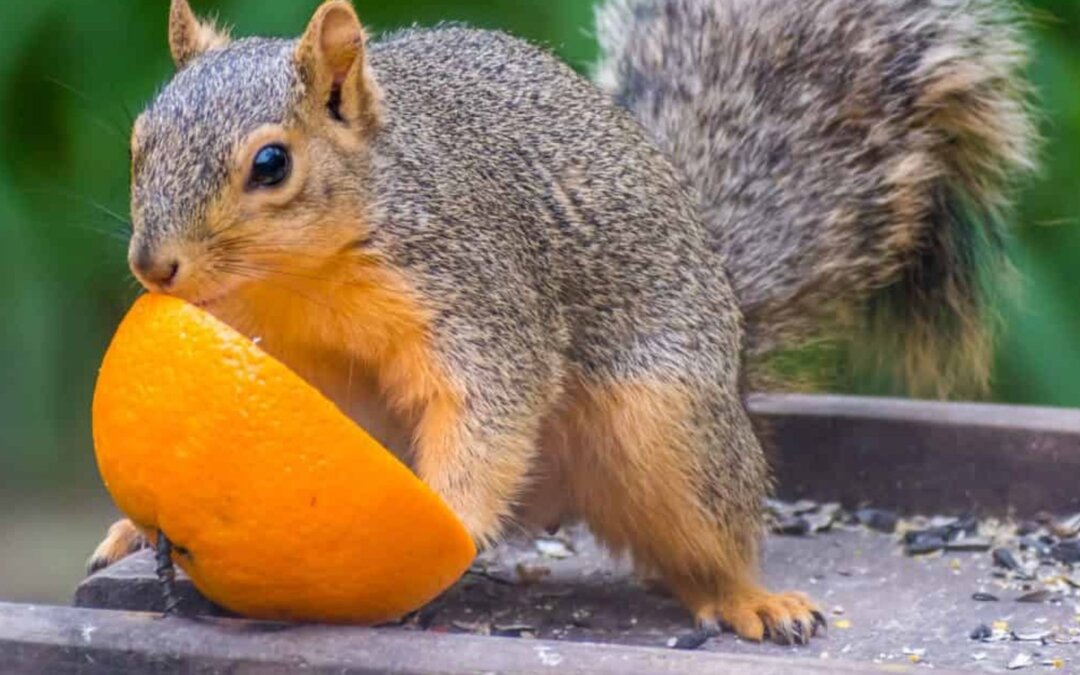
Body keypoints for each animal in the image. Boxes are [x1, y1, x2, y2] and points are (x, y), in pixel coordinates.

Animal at [89, 0, 1033, 644]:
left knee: (708, 535)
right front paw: (141, 522)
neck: (302, 277)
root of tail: (731, 331)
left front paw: (446, 518)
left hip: (671, 426)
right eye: (138, 140)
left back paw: (749, 597)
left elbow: (490, 409)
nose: (152, 265)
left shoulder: (479, 295)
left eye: (271, 164)